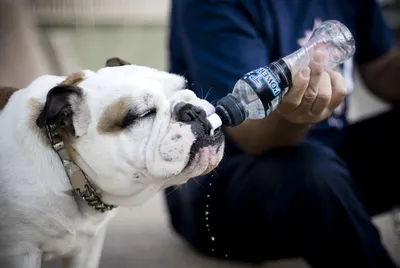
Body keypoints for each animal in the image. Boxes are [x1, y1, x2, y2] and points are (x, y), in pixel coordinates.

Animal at [0, 58, 225, 268]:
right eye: (143, 114)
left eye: (185, 86)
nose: (192, 110)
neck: (68, 166)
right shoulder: (21, 252)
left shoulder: (87, 249)